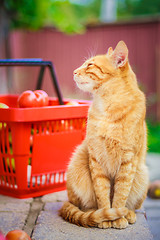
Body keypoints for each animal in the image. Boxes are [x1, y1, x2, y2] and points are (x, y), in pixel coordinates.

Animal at [59, 40, 149, 229]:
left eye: (90, 65)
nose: (74, 71)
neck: (107, 106)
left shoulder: (128, 161)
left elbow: (120, 195)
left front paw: (117, 217)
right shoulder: (96, 159)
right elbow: (102, 194)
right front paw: (106, 216)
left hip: (142, 173)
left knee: (132, 205)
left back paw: (128, 213)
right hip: (77, 164)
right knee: (82, 206)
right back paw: (93, 214)